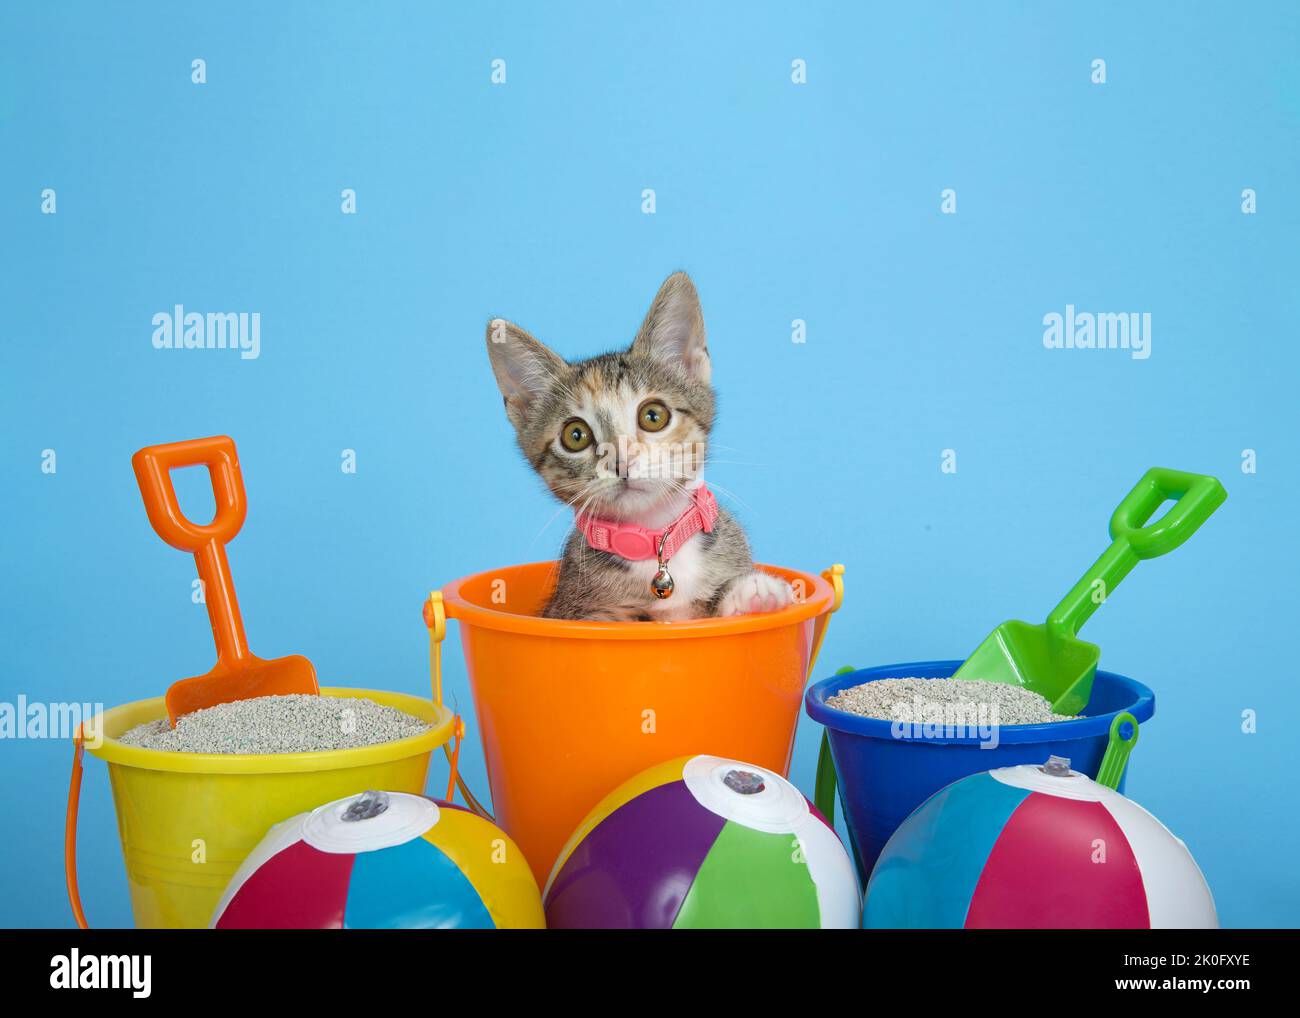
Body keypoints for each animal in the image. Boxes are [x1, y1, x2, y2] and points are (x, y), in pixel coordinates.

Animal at [486, 270, 790, 621]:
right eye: (575, 435)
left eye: (653, 416)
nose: (621, 461)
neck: (654, 542)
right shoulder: (570, 612)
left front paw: (751, 593)